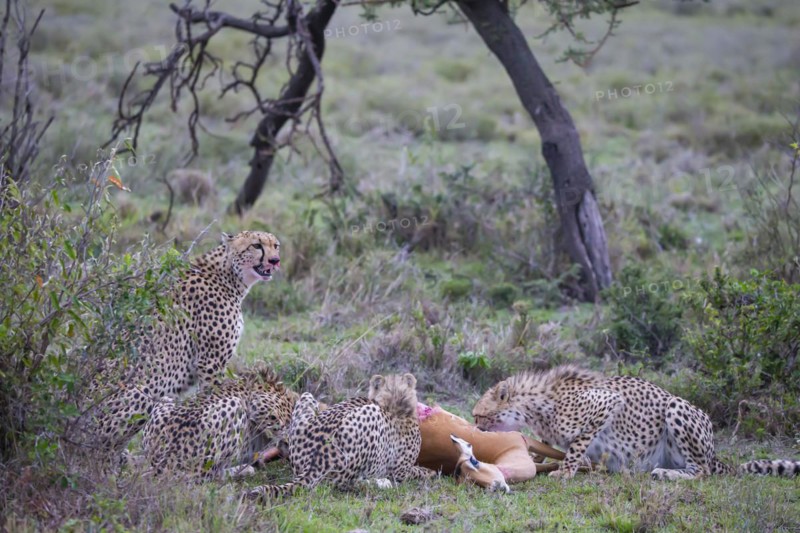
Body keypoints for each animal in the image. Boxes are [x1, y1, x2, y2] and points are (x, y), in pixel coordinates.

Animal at [87, 230, 281, 452]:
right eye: (256, 245)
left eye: (275, 246)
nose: (275, 260)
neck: (228, 275)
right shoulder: (210, 363)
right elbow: (212, 395)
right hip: (143, 393)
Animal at [140, 366, 297, 479]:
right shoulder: (261, 406)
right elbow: (280, 428)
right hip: (236, 405)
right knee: (205, 476)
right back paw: (244, 470)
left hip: (166, 400)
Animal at [246, 373, 435, 501]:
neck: (394, 398)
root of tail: (316, 460)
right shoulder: (400, 471)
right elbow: (415, 471)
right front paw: (430, 472)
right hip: (369, 419)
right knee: (353, 482)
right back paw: (378, 482)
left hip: (306, 397)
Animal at [473, 365, 800, 480]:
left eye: (478, 416)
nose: (474, 428)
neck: (535, 404)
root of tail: (715, 454)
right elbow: (546, 446)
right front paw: (538, 458)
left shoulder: (606, 403)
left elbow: (577, 446)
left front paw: (564, 472)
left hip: (675, 407)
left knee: (703, 471)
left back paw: (666, 474)